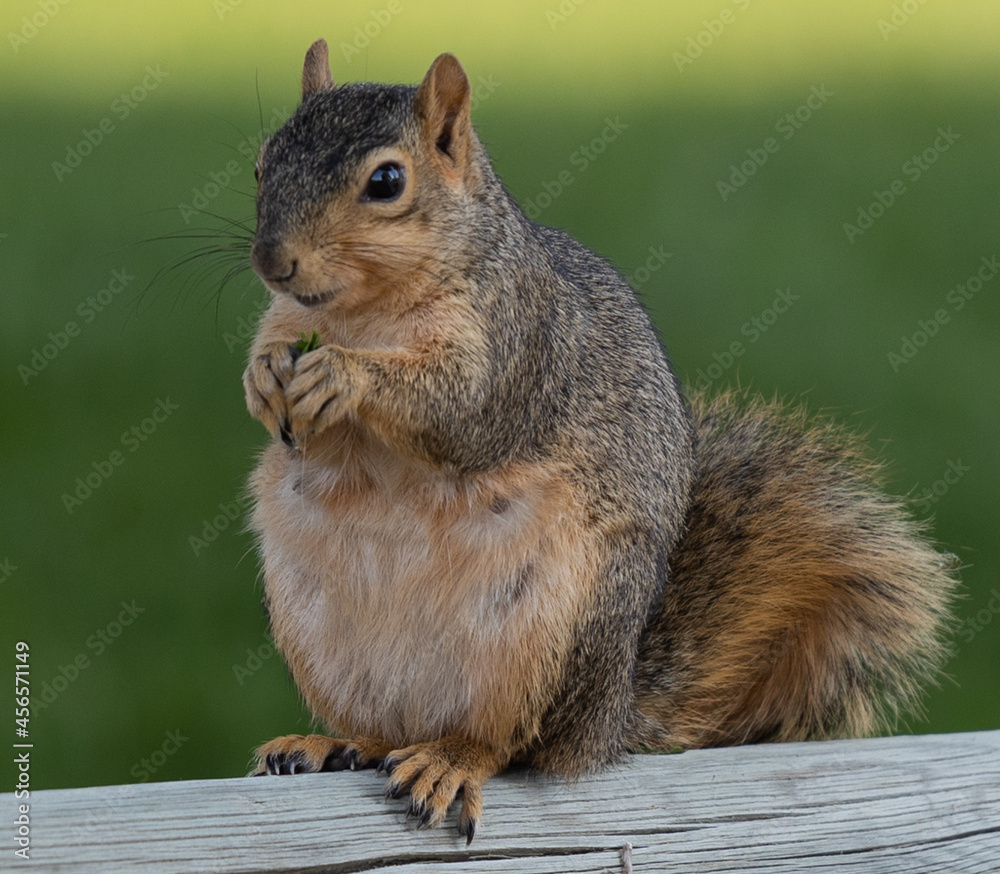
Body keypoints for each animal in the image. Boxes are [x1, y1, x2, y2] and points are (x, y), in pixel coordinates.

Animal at [242, 39, 956, 842]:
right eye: (264, 163)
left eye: (387, 181)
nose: (272, 261)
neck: (360, 313)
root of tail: (609, 721)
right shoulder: (288, 317)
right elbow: (272, 357)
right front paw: (264, 379)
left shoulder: (519, 342)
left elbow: (463, 412)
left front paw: (342, 373)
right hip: (320, 630)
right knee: (386, 729)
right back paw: (332, 742)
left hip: (555, 633)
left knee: (515, 743)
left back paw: (452, 759)